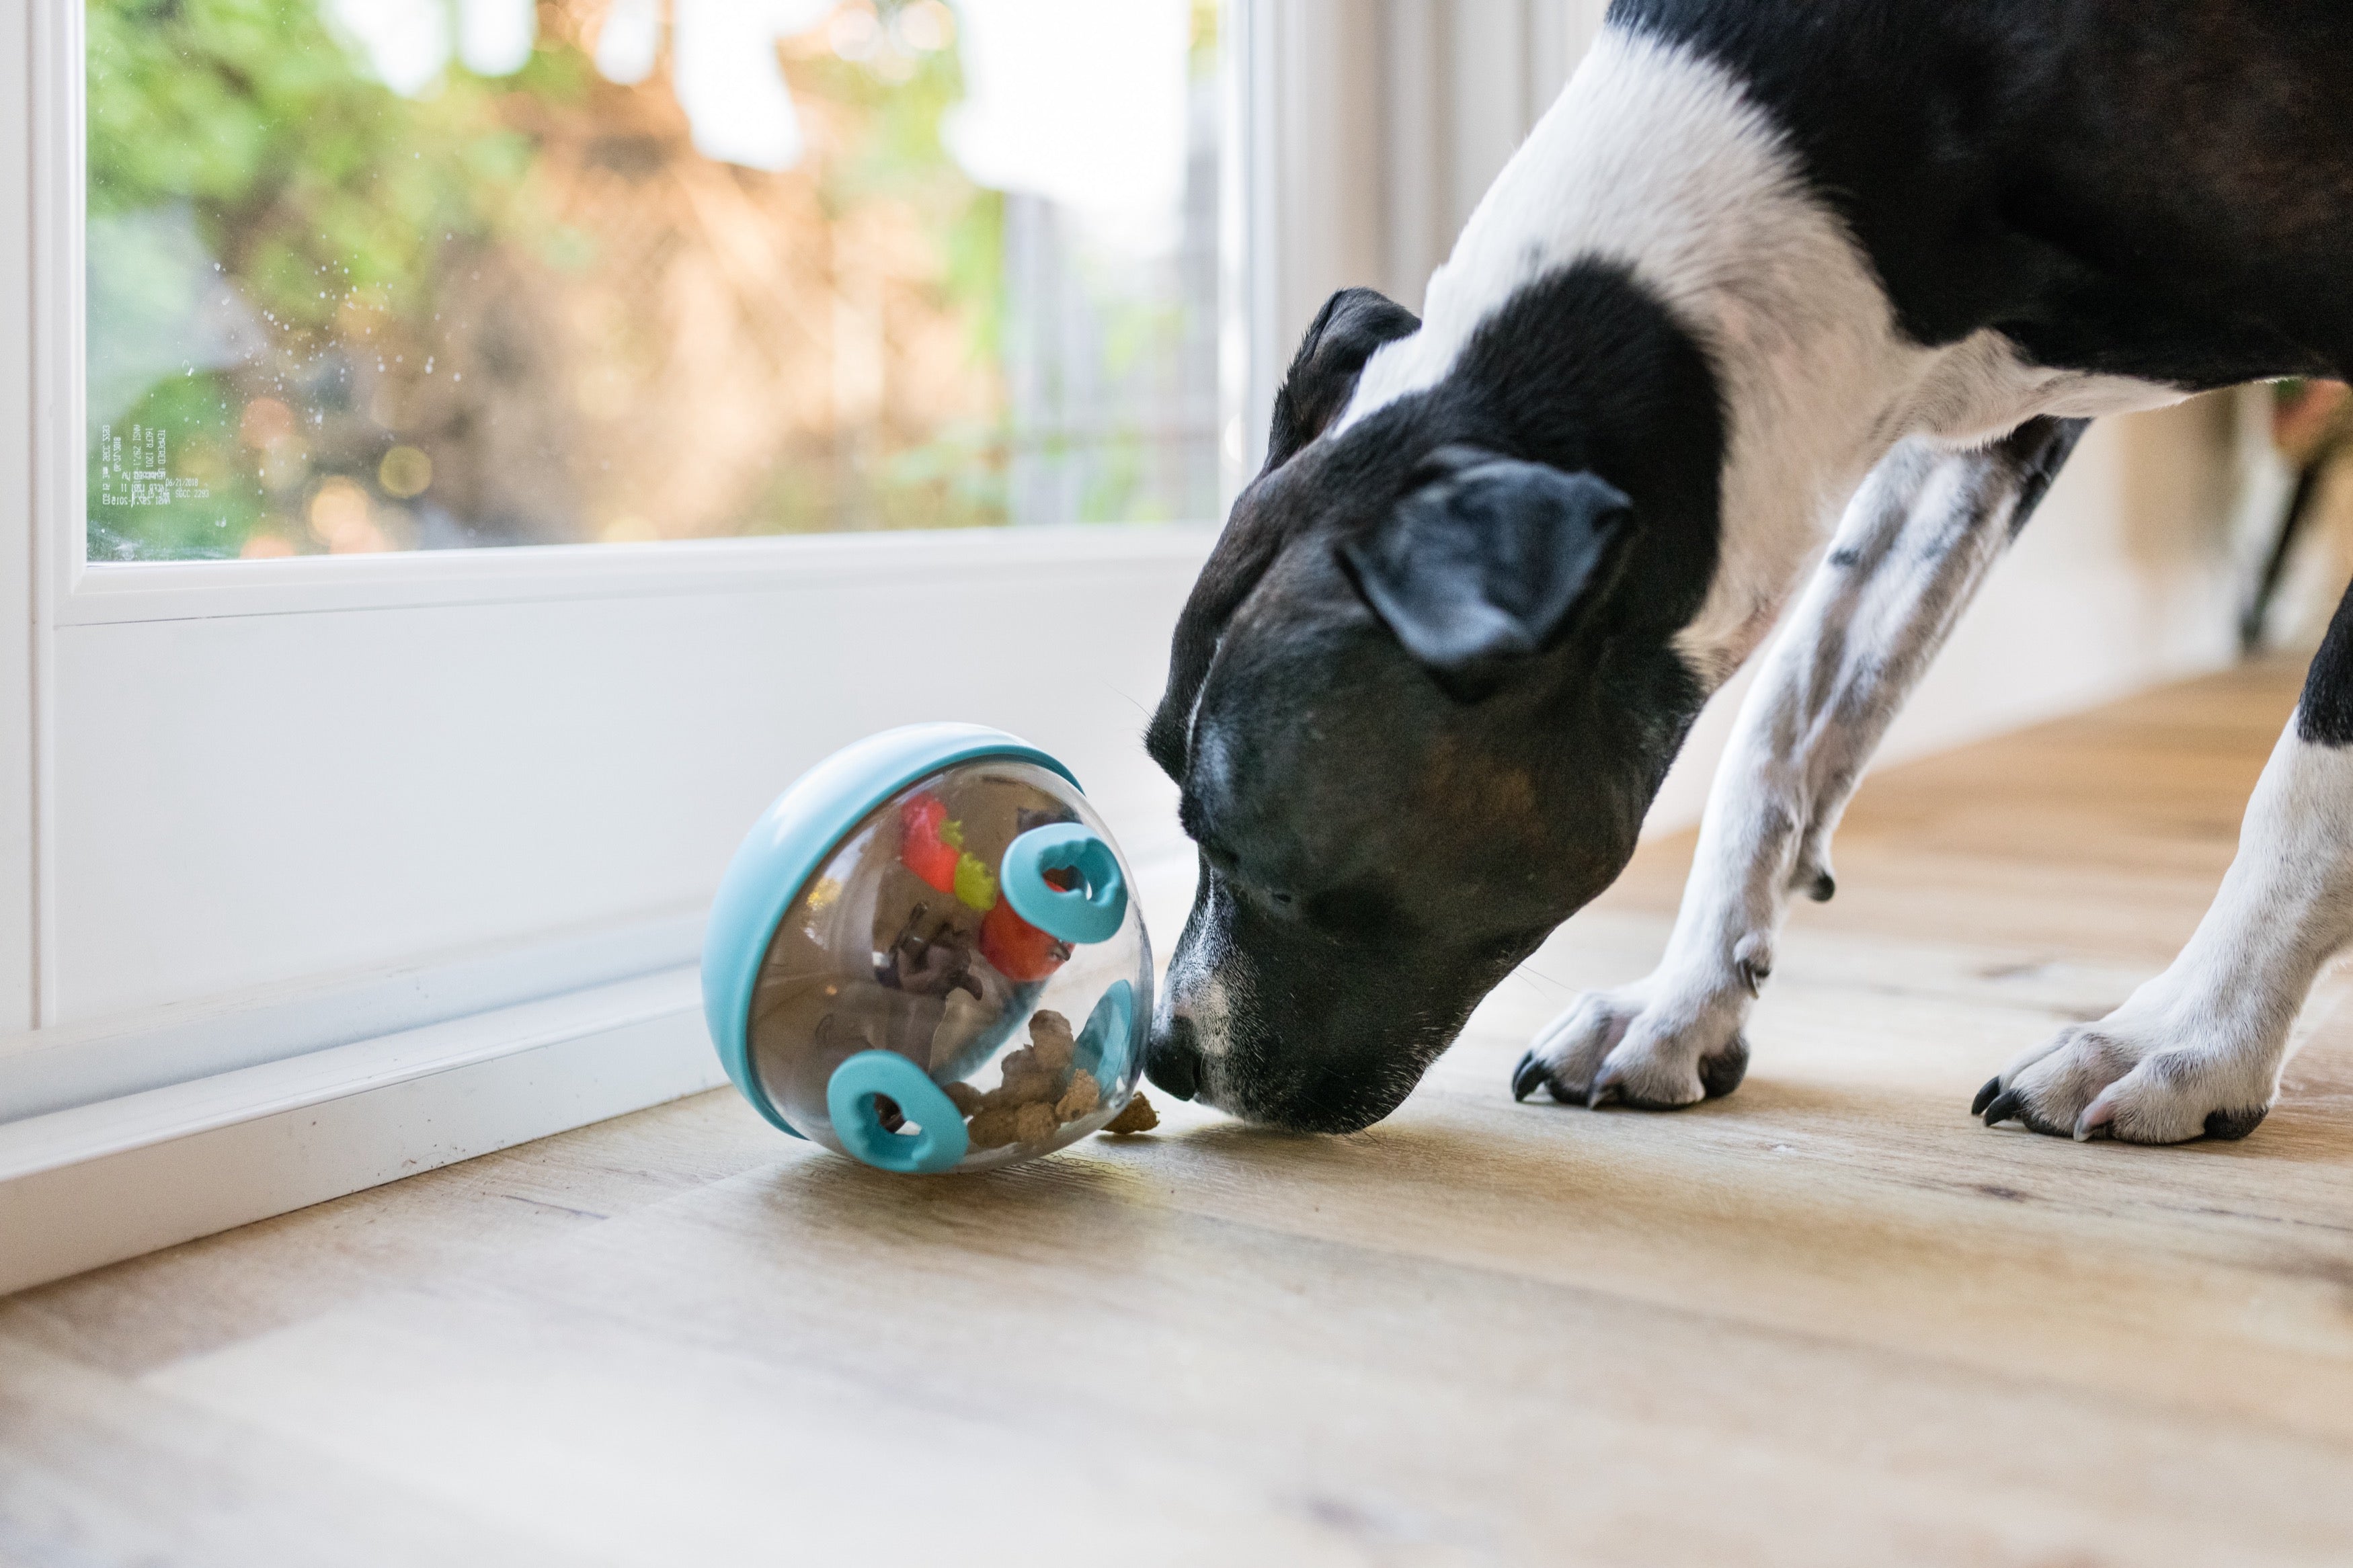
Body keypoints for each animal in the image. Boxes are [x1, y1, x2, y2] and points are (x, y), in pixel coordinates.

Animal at [1139, 3, 2353, 1151]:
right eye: (1160, 767)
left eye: (1263, 859)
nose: (1165, 1052)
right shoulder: (1955, 418)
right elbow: (1789, 723)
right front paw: (1682, 1004)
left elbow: (2311, 777)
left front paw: (2192, 1035)